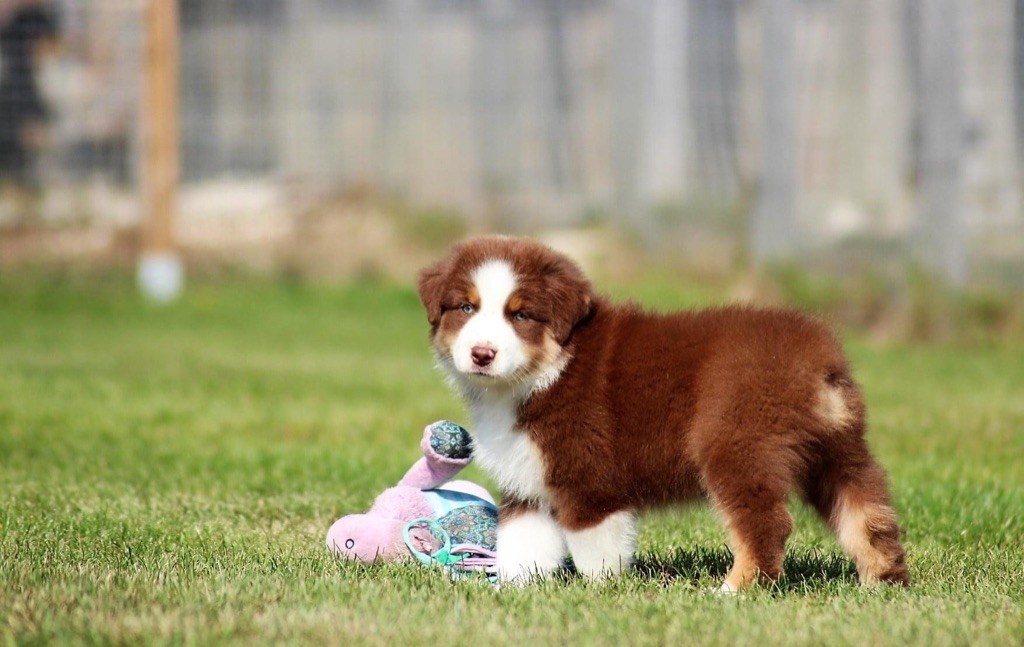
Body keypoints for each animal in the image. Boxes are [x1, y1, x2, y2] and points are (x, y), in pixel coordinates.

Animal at [417, 236, 909, 589]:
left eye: (519, 316)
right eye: (466, 308)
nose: (482, 354)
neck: (547, 370)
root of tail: (819, 357)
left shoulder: (589, 480)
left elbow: (596, 549)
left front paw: (601, 592)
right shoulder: (528, 483)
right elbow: (523, 544)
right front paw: (513, 590)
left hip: (737, 446)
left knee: (766, 523)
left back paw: (734, 590)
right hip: (837, 450)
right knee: (867, 511)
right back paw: (882, 583)